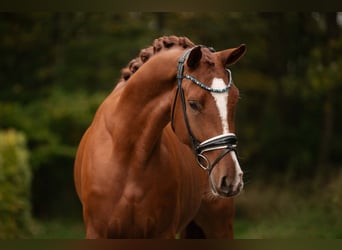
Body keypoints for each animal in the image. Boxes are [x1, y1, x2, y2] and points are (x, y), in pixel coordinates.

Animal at [74, 41, 246, 238]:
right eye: (193, 104)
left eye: (235, 100)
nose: (232, 178)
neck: (128, 153)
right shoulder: (97, 232)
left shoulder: (163, 233)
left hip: (219, 226)